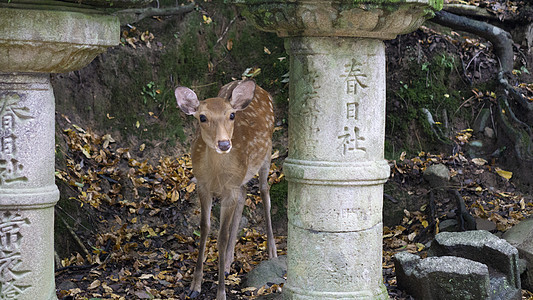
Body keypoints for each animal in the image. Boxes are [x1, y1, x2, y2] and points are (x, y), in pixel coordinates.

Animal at [175, 78, 278, 298]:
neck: (216, 176)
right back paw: (229, 263)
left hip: (267, 152)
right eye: (202, 117)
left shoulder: (229, 189)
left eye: (231, 115)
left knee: (264, 190)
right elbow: (205, 228)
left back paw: (272, 252)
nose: (224, 144)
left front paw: (221, 293)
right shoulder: (203, 185)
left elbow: (221, 237)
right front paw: (195, 286)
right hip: (240, 179)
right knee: (244, 194)